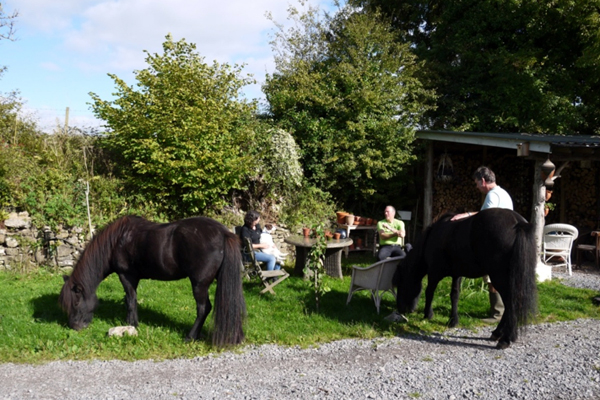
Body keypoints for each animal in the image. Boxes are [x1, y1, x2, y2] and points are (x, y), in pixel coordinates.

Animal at [59, 216, 247, 346]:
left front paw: (130, 325)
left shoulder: (126, 275)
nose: (74, 326)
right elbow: (131, 299)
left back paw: (190, 336)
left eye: (75, 302)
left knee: (203, 308)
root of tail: (223, 233)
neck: (117, 241)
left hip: (199, 284)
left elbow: (130, 300)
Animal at [394, 208, 540, 348]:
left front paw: (427, 314)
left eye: (401, 283)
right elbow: (454, 295)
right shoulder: (456, 274)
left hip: (500, 278)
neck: (432, 236)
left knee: (511, 303)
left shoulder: (434, 272)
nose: (401, 309)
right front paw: (453, 320)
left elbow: (429, 292)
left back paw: (506, 338)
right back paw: (498, 333)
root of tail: (518, 222)